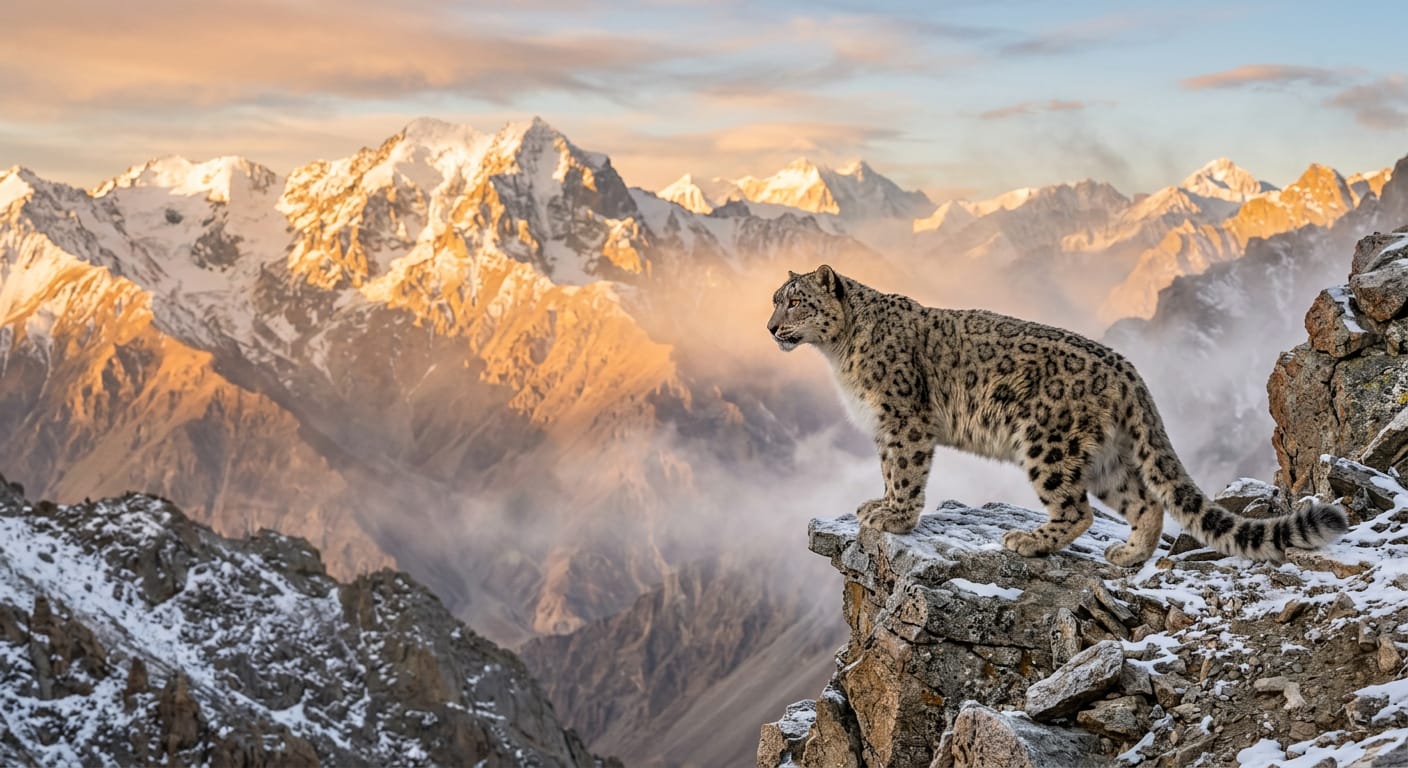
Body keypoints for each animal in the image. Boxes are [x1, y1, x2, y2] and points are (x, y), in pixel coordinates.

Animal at [767, 264, 1349, 565]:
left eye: (795, 301)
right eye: (775, 298)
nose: (771, 328)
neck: (839, 355)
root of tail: (1129, 372)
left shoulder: (902, 420)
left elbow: (905, 472)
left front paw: (895, 516)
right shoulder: (885, 428)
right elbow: (890, 470)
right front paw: (880, 506)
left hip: (1048, 443)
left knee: (1078, 511)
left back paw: (1028, 541)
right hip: (1107, 460)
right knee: (1144, 501)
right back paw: (1129, 555)